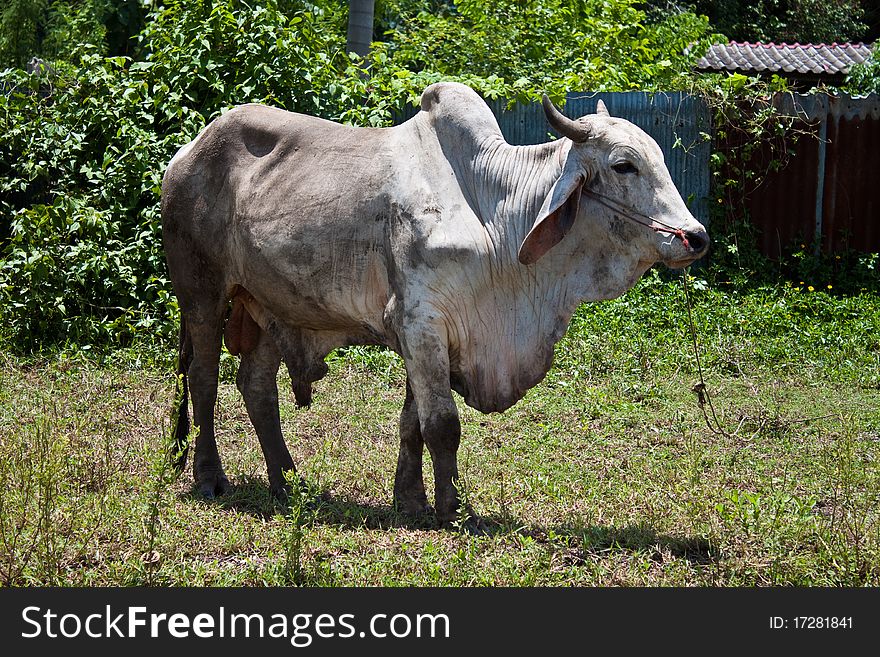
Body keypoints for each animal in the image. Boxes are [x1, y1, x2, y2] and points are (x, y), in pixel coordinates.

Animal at [160, 82, 708, 524]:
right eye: (623, 164)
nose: (695, 237)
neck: (494, 214)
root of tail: (185, 153)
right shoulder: (421, 322)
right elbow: (442, 424)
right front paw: (451, 509)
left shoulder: (423, 333)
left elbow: (414, 423)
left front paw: (410, 500)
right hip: (202, 295)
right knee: (203, 381)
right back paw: (210, 477)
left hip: (269, 305)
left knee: (256, 386)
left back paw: (287, 481)